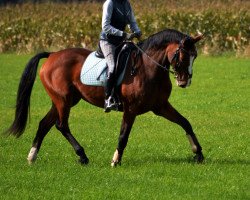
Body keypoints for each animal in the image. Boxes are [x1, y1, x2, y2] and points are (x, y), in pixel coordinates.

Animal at [6, 28, 205, 166]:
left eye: (195, 56)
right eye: (183, 55)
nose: (185, 81)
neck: (149, 69)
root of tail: (52, 54)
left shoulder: (161, 106)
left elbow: (185, 123)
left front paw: (199, 153)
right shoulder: (131, 109)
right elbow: (123, 135)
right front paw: (115, 161)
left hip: (64, 101)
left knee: (44, 124)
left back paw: (32, 157)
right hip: (63, 100)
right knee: (61, 125)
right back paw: (82, 156)